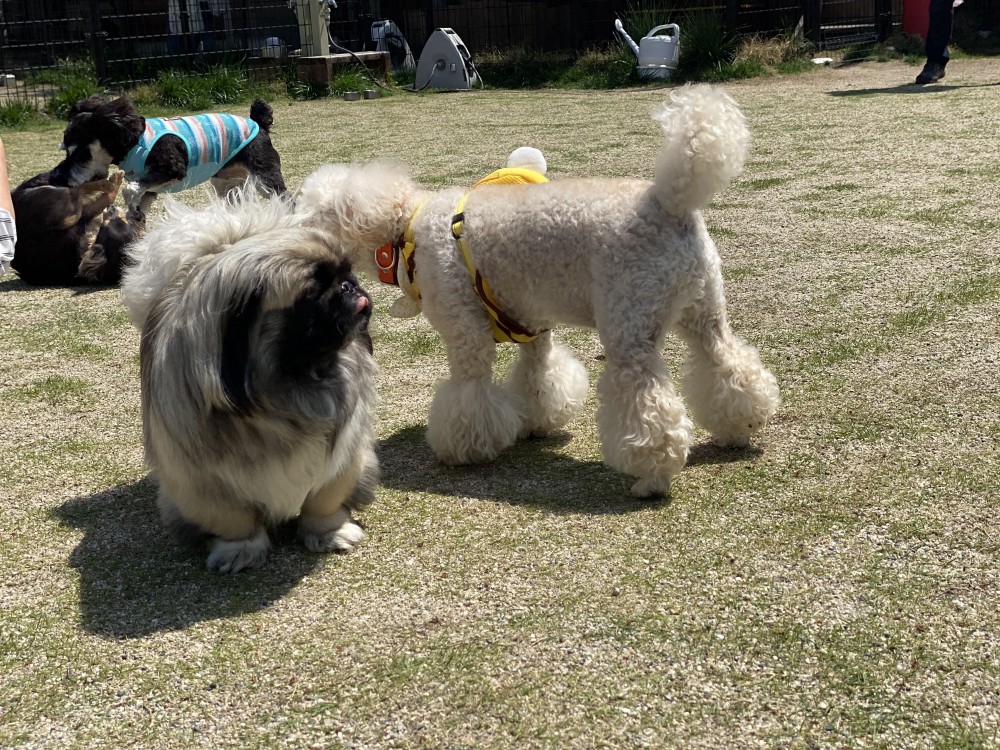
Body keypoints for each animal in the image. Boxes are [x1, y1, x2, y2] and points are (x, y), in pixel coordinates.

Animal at [10, 165, 139, 286]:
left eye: (109, 223)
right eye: (125, 221)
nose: (113, 207)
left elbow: (103, 197)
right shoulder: (87, 215)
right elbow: (105, 199)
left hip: (60, 208)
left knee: (77, 192)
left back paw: (109, 181)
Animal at [61, 95, 287, 224]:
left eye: (80, 153)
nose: (66, 179)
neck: (132, 141)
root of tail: (259, 124)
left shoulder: (170, 169)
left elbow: (129, 189)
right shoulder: (150, 186)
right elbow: (138, 197)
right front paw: (135, 213)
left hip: (264, 179)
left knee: (285, 200)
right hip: (227, 184)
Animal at [120, 187, 379, 572]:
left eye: (347, 272)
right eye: (312, 293)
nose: (349, 285)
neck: (291, 388)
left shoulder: (342, 461)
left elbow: (324, 504)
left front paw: (330, 533)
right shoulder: (203, 485)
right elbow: (235, 521)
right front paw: (240, 551)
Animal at [296, 84, 780, 497]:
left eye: (312, 213)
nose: (291, 232)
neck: (409, 223)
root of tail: (668, 203)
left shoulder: (467, 336)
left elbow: (469, 393)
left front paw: (464, 449)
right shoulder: (533, 326)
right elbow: (539, 375)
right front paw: (537, 422)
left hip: (629, 330)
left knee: (649, 405)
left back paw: (652, 477)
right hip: (704, 311)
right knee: (727, 363)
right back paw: (739, 428)